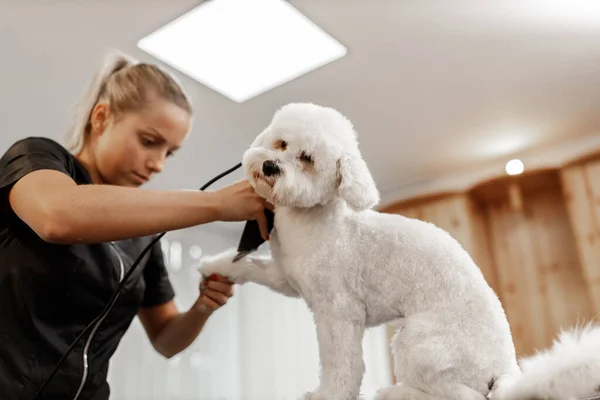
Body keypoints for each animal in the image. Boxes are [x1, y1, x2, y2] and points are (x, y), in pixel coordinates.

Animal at [199, 104, 600, 400]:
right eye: (281, 143)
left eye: (308, 159)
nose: (270, 166)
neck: (312, 220)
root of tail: (505, 370)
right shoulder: (285, 278)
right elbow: (250, 266)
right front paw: (213, 265)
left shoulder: (338, 312)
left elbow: (342, 364)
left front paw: (327, 394)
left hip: (418, 342)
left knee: (463, 396)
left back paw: (396, 392)